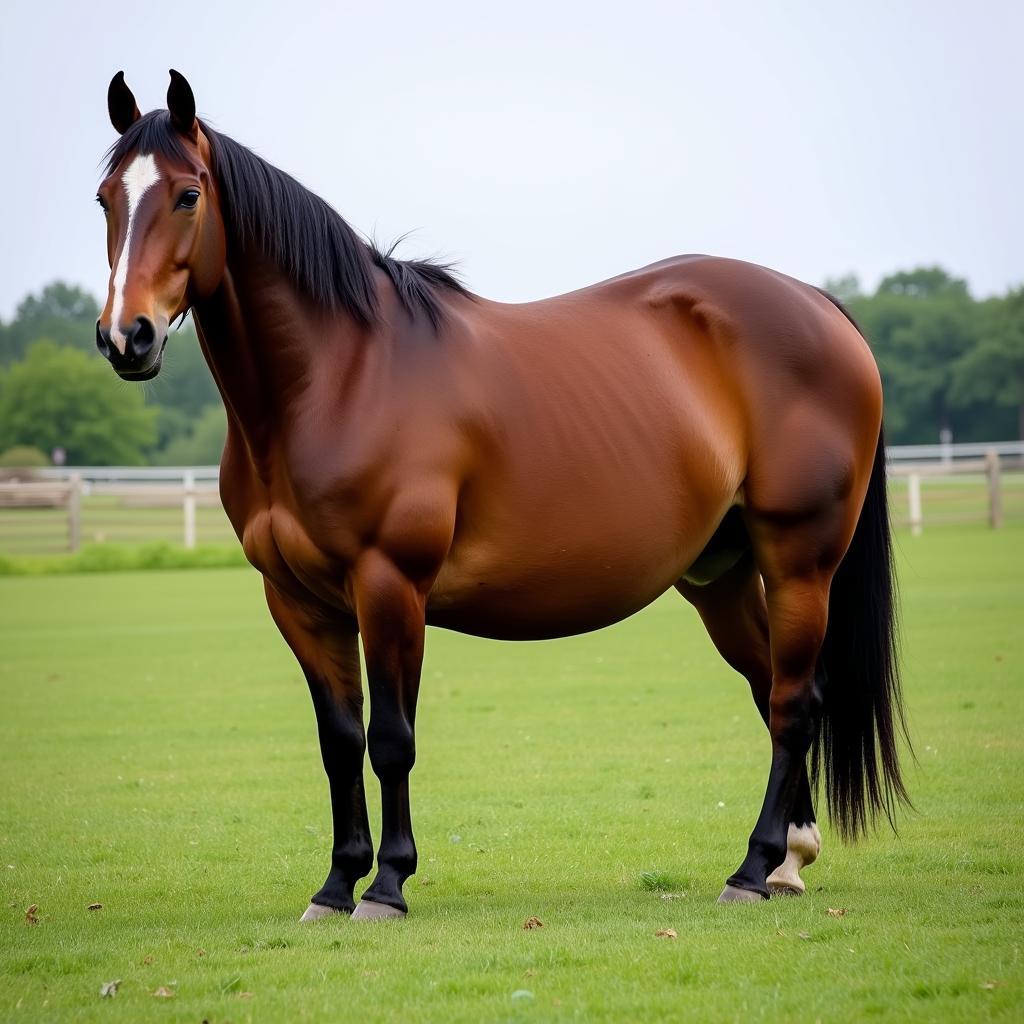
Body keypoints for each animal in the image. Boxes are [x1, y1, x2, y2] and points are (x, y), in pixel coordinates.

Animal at [96, 72, 909, 921]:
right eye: (105, 199)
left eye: (188, 195)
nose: (127, 337)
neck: (342, 376)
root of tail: (817, 303)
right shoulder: (298, 601)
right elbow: (340, 741)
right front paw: (335, 885)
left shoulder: (389, 586)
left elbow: (391, 739)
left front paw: (386, 886)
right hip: (719, 576)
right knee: (773, 687)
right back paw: (789, 859)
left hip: (798, 561)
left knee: (793, 703)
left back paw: (752, 868)